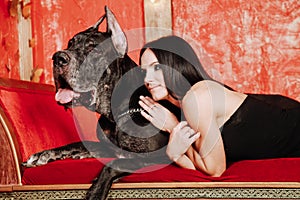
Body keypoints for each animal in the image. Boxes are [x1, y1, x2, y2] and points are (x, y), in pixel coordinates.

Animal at [23, 6, 179, 200]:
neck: (116, 114)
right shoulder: (108, 147)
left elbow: (113, 165)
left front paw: (96, 191)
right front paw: (43, 155)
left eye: (94, 50)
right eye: (70, 43)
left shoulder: (157, 158)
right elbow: (79, 143)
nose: (58, 58)